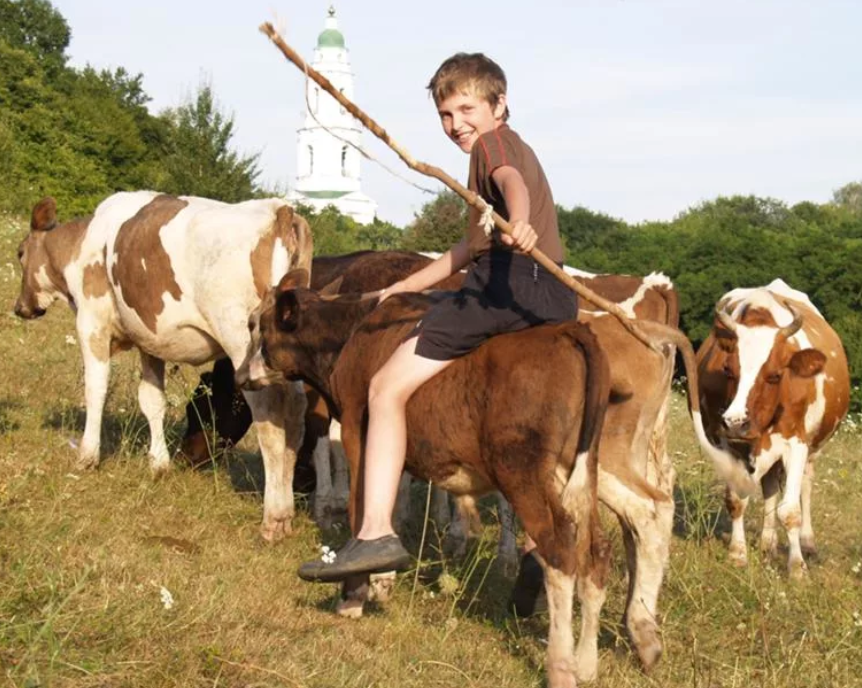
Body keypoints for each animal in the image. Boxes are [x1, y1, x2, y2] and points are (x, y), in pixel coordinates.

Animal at [14, 191, 314, 540]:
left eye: (20, 253)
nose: (20, 307)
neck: (83, 243)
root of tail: (278, 209)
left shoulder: (91, 322)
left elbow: (96, 388)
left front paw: (87, 456)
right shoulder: (150, 341)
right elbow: (152, 399)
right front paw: (159, 463)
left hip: (241, 341)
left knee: (269, 416)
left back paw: (274, 517)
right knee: (296, 414)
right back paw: (287, 513)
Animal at [696, 278, 852, 576]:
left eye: (776, 375)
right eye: (728, 369)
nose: (735, 421)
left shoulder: (796, 443)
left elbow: (790, 511)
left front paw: (797, 567)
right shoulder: (726, 441)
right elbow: (737, 499)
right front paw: (737, 554)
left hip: (813, 449)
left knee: (805, 486)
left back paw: (807, 543)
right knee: (769, 486)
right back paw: (767, 543)